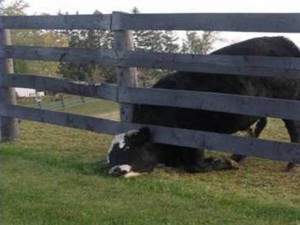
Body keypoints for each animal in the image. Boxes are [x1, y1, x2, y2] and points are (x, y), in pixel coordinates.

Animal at [107, 37, 300, 178]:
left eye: (127, 147)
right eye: (109, 157)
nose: (114, 170)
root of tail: (282, 40)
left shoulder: (194, 136)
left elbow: (195, 166)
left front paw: (224, 163)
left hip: (288, 103)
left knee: (293, 129)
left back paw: (290, 164)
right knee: (261, 125)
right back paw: (239, 155)